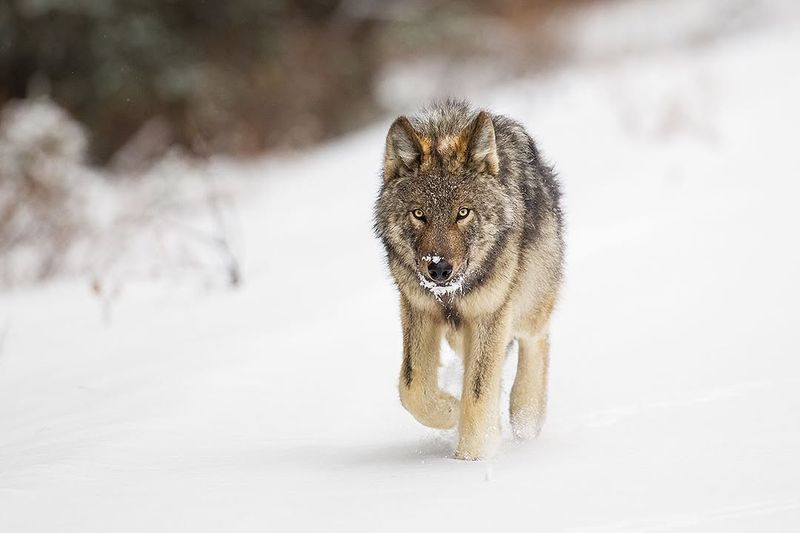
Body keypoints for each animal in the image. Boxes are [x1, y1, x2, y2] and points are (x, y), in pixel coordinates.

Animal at [374, 102, 564, 460]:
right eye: (419, 214)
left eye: (463, 213)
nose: (438, 269)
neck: (452, 295)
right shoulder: (418, 309)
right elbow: (413, 387)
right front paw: (452, 411)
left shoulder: (489, 313)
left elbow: (478, 392)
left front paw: (471, 457)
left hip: (529, 302)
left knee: (536, 340)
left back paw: (526, 416)